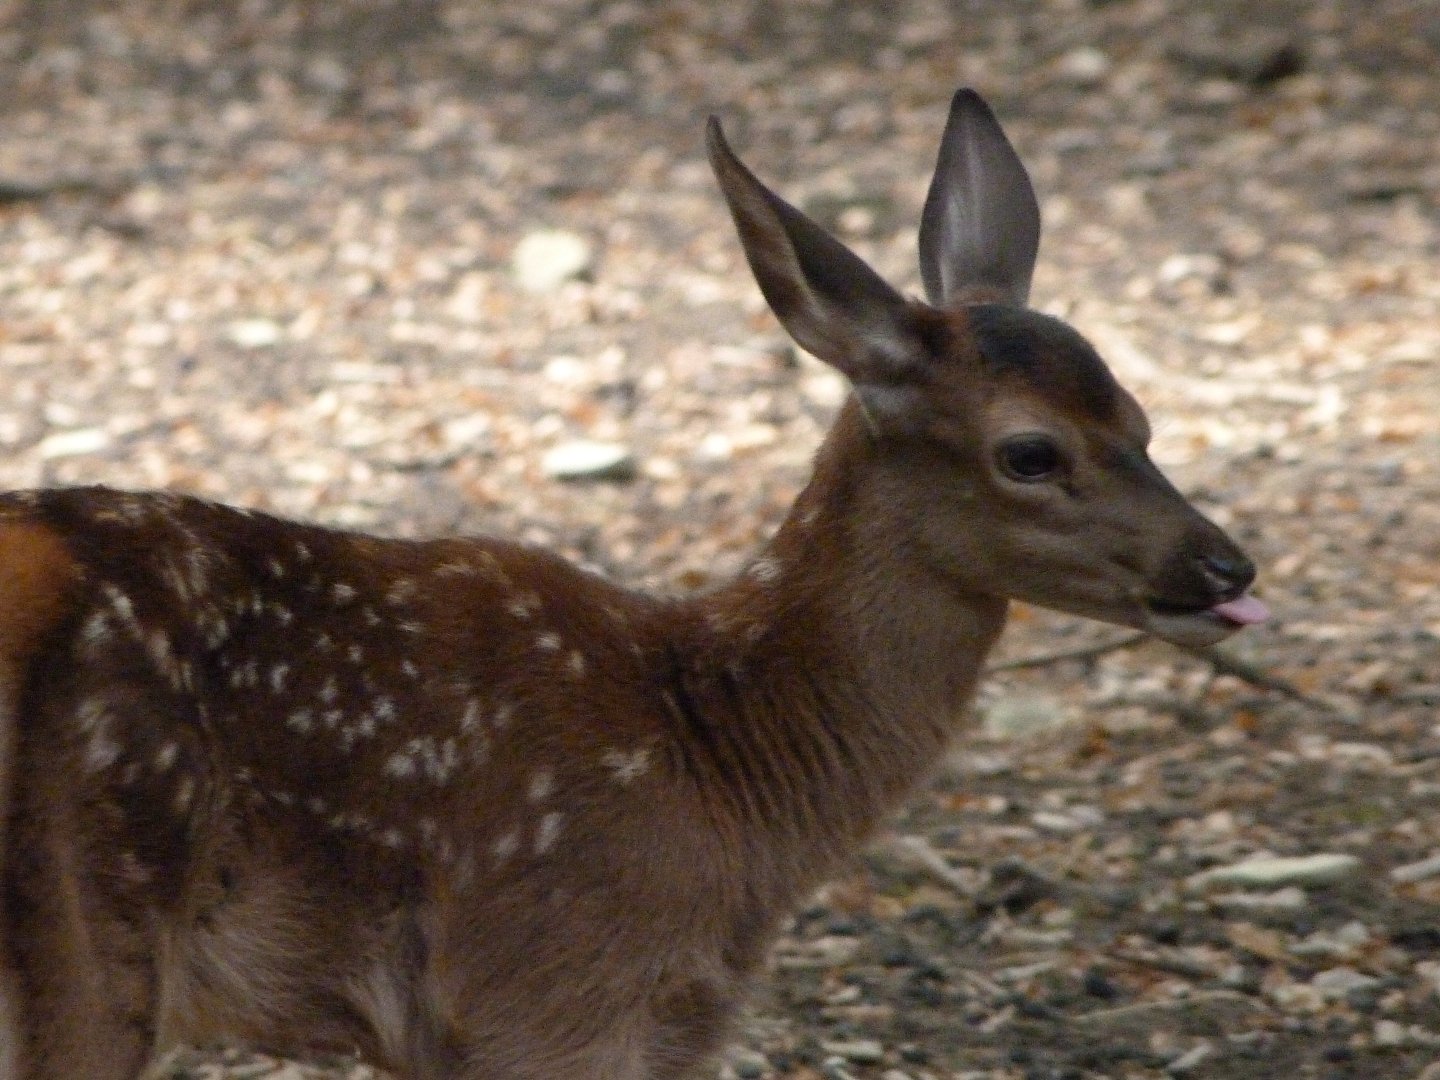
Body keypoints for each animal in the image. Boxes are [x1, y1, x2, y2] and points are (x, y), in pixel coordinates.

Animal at [0, 88, 1266, 1079]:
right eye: (1031, 452)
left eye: (1141, 417)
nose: (1225, 565)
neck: (724, 780)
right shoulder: (549, 994)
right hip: (90, 931)